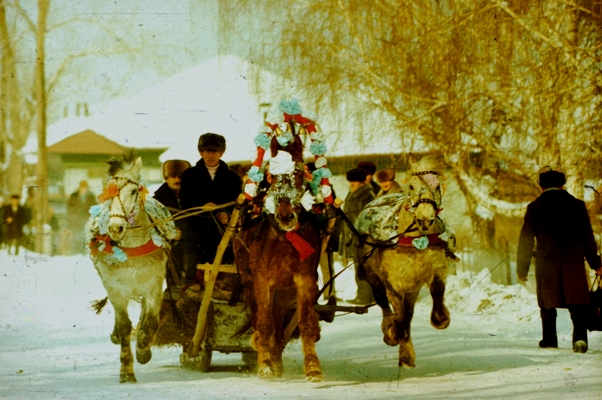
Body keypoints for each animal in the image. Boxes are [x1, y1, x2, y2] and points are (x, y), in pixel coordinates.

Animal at [87, 154, 177, 383]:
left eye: (134, 191)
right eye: (107, 193)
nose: (115, 228)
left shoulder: (154, 285)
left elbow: (152, 321)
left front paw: (143, 349)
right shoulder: (116, 288)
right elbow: (124, 325)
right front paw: (126, 370)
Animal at [234, 152, 325, 382]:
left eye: (299, 176)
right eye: (273, 178)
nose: (286, 216)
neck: (284, 238)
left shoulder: (304, 280)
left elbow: (306, 323)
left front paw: (313, 367)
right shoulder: (262, 281)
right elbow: (265, 325)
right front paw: (265, 366)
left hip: (283, 293)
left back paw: (276, 358)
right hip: (249, 284)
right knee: (259, 320)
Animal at [355, 155, 456, 368]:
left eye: (437, 186)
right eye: (411, 186)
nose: (425, 218)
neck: (414, 240)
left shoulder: (433, 269)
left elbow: (436, 291)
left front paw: (441, 318)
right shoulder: (393, 280)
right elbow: (397, 311)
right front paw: (393, 333)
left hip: (412, 286)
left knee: (408, 313)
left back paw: (406, 354)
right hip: (372, 274)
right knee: (383, 301)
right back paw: (390, 329)